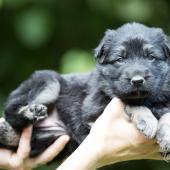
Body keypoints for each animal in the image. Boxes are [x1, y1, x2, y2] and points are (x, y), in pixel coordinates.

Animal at [0, 22, 170, 158]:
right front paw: (147, 121)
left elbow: (166, 114)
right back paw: (29, 113)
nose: (137, 80)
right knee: (11, 112)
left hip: (54, 137)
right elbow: (131, 103)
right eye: (120, 60)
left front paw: (166, 137)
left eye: (151, 57)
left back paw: (6, 133)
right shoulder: (95, 109)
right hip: (49, 81)